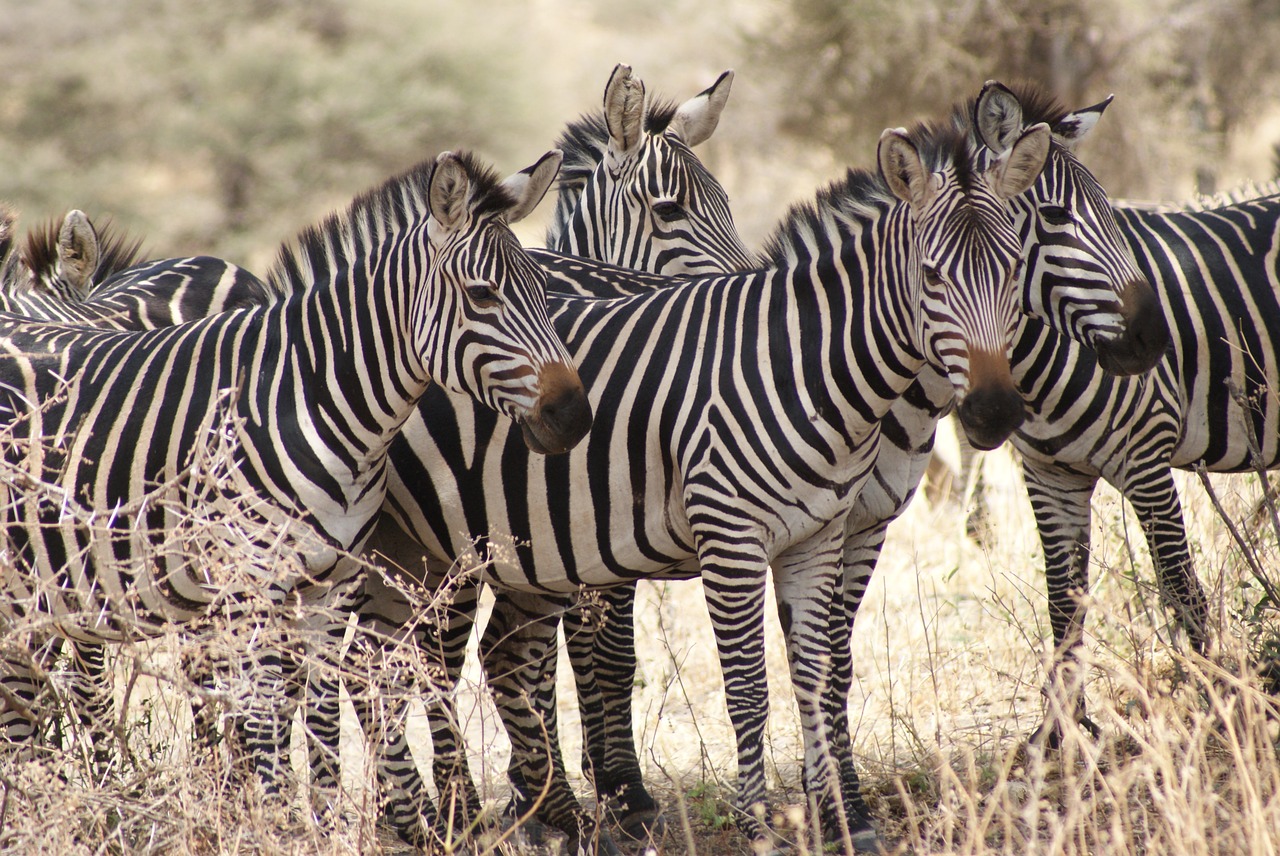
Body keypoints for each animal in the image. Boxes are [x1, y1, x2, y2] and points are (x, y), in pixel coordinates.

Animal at [0, 148, 588, 829]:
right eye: (482, 295)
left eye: (544, 289)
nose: (576, 416)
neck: (311, 402)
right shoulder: (251, 592)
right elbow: (267, 724)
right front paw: (277, 820)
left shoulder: (331, 589)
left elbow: (324, 718)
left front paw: (326, 823)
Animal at [360, 115, 1059, 854]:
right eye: (930, 275)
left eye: (1015, 268)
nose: (996, 410)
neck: (813, 369)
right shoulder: (733, 539)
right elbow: (749, 686)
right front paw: (760, 824)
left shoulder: (826, 535)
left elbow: (821, 672)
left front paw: (843, 817)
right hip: (438, 532)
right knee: (422, 656)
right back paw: (454, 814)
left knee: (475, 653)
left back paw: (528, 812)